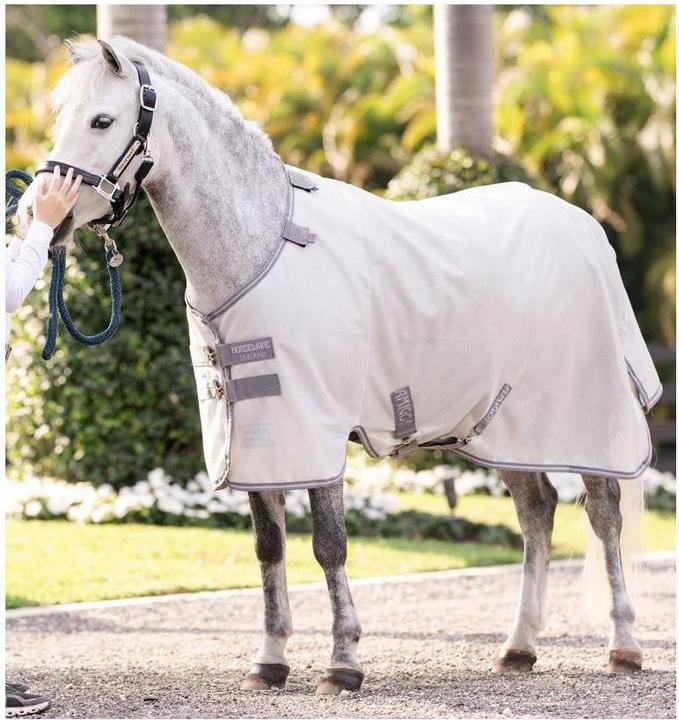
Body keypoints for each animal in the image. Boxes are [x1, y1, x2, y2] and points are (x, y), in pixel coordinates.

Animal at [16, 37, 658, 693]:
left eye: (102, 120)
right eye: (62, 117)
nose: (41, 213)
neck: (263, 246)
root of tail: (586, 227)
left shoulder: (315, 427)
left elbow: (329, 545)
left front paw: (343, 663)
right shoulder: (260, 435)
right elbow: (269, 547)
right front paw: (270, 660)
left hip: (582, 424)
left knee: (604, 517)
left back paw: (623, 646)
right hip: (504, 429)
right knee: (537, 512)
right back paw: (518, 648)